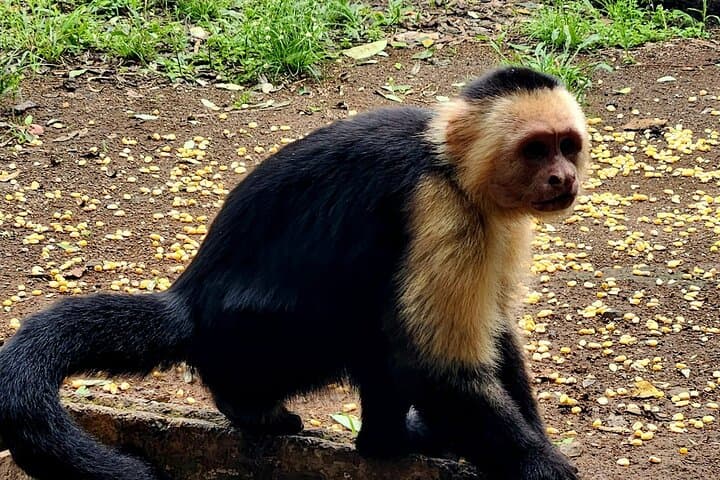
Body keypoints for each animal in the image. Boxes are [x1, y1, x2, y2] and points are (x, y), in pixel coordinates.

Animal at [0, 66, 589, 480]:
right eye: (535, 149)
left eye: (567, 145)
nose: (562, 177)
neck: (448, 164)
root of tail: (189, 299)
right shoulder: (438, 208)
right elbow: (432, 364)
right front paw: (540, 465)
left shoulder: (493, 220)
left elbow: (496, 332)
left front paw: (536, 439)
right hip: (262, 333)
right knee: (367, 320)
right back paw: (264, 410)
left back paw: (383, 441)